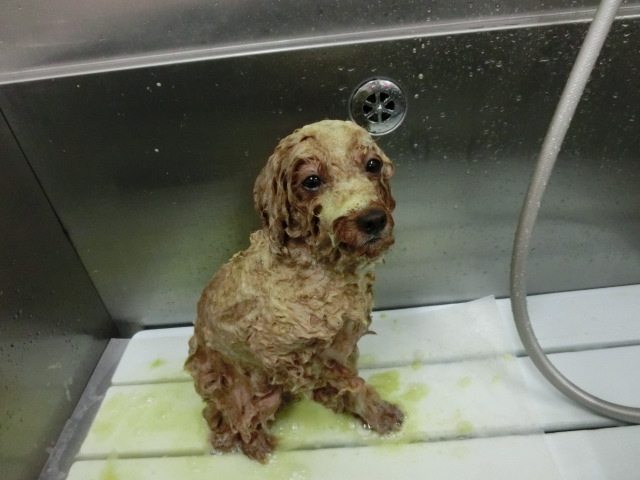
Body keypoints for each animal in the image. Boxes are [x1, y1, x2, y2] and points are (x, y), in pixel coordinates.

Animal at [185, 119, 403, 462]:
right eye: (311, 181)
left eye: (373, 165)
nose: (372, 219)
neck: (324, 268)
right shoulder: (292, 360)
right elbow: (351, 384)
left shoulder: (342, 345)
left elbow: (350, 384)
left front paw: (376, 414)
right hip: (251, 393)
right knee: (233, 425)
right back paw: (260, 448)